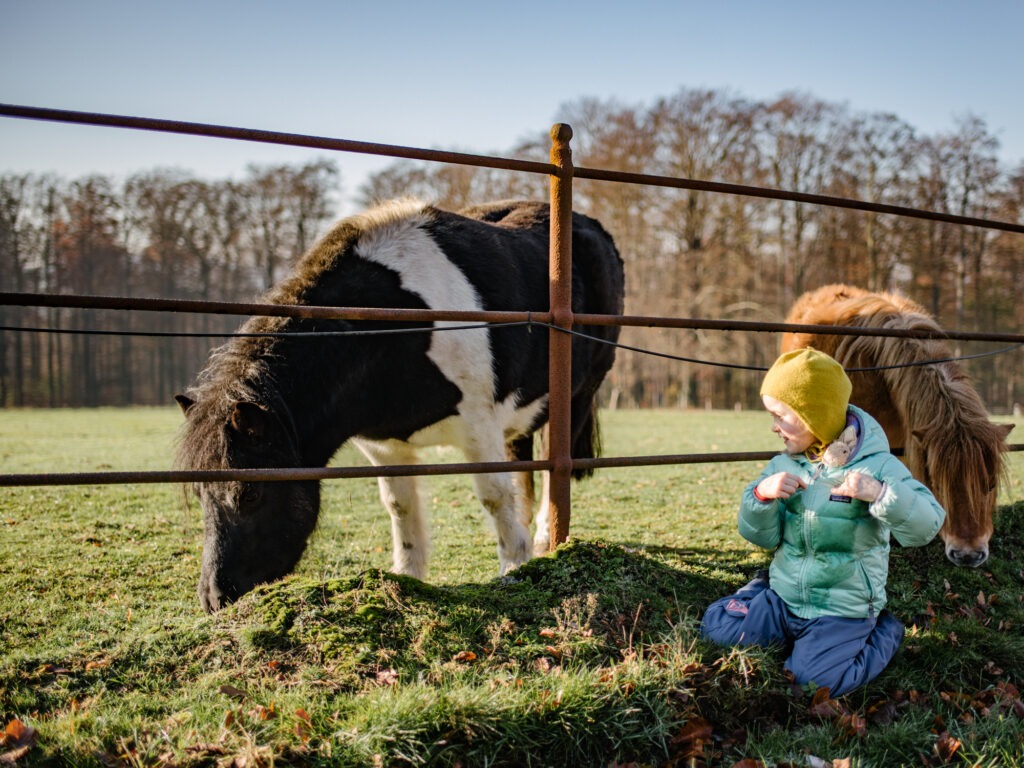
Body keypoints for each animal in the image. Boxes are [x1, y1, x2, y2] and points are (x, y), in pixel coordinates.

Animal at [176, 196, 622, 614]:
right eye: (199, 494)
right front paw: (406, 576)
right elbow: (399, 506)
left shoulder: (480, 426)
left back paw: (544, 540)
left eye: (250, 493)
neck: (387, 325)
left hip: (579, 395)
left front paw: (513, 568)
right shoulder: (385, 446)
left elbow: (494, 495)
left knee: (551, 468)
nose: (214, 598)